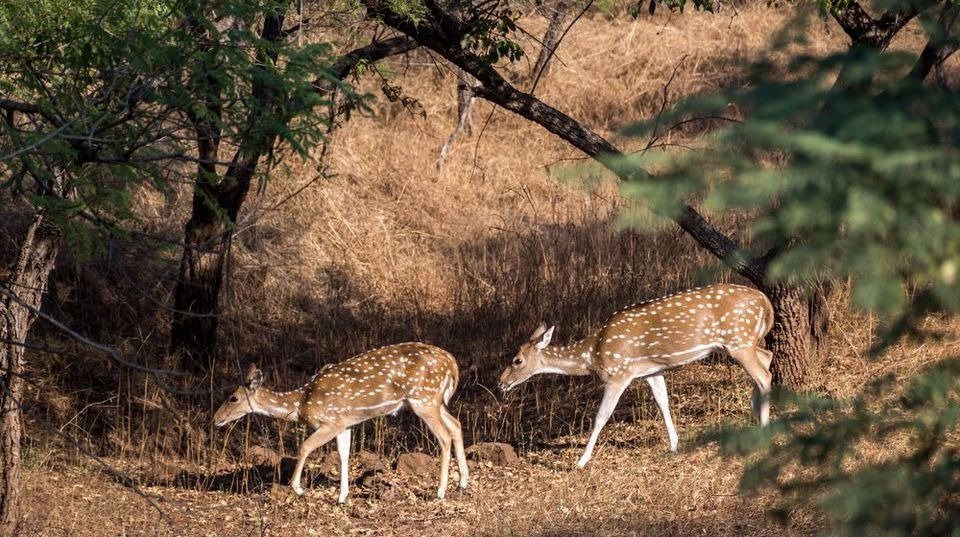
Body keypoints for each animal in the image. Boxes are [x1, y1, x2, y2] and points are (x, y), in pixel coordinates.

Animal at [214, 344, 468, 502]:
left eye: (233, 397)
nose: (216, 419)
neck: (301, 403)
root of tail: (452, 363)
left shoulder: (330, 421)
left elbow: (304, 446)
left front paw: (298, 488)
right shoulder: (345, 423)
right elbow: (344, 455)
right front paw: (342, 496)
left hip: (423, 399)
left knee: (444, 436)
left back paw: (440, 491)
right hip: (435, 401)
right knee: (456, 425)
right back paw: (463, 483)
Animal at [498, 282, 776, 466]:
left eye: (517, 360)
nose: (501, 383)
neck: (593, 354)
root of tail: (765, 301)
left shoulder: (618, 373)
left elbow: (601, 417)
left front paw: (581, 461)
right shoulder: (651, 370)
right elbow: (663, 403)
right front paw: (674, 445)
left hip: (738, 339)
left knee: (764, 375)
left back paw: (763, 428)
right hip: (742, 342)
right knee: (767, 357)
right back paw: (754, 411)